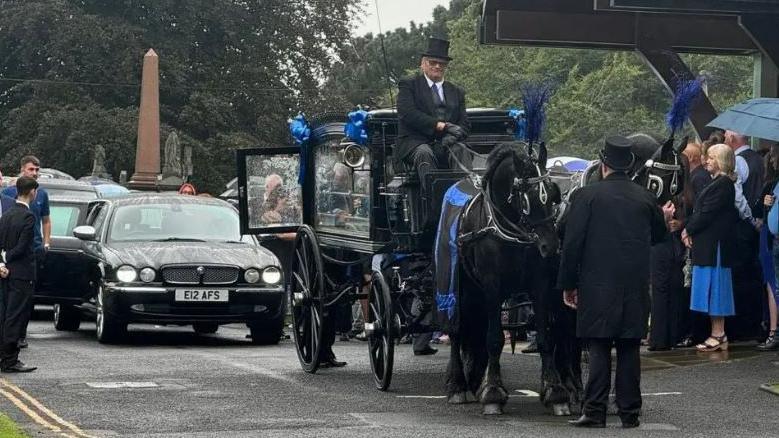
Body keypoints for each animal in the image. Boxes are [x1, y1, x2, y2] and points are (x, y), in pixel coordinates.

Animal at [442, 142, 564, 416]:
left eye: (552, 193)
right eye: (526, 196)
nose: (550, 247)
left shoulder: (540, 285)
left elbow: (545, 338)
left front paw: (554, 391)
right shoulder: (492, 286)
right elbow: (494, 339)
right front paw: (493, 393)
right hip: (458, 288)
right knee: (456, 330)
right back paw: (457, 385)